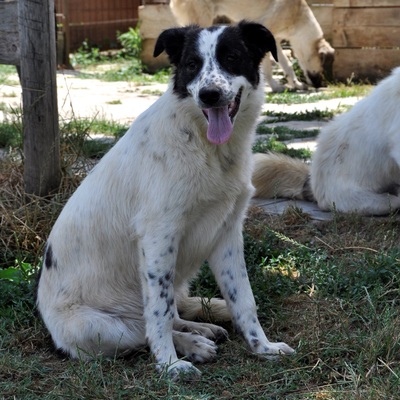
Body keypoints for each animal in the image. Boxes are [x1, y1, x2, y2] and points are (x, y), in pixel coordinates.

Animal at [36, 21, 294, 378]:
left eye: (232, 57)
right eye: (191, 64)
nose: (208, 95)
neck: (206, 147)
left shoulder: (227, 233)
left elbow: (243, 299)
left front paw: (262, 347)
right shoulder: (159, 235)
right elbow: (157, 314)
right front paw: (170, 364)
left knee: (174, 310)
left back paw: (203, 324)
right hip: (97, 327)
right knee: (143, 328)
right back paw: (193, 343)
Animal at [169, 0, 334, 91]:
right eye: (322, 65)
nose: (320, 85)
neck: (298, 15)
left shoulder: (275, 42)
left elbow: (287, 65)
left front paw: (297, 84)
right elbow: (268, 69)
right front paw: (275, 87)